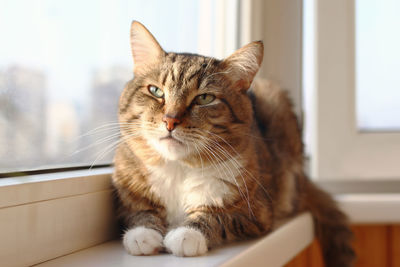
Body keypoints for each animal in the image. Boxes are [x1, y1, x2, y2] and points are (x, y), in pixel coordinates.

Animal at [111, 21, 354, 267]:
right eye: (155, 91)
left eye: (205, 98)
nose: (170, 120)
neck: (179, 167)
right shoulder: (127, 194)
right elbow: (139, 210)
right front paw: (143, 233)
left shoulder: (256, 212)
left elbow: (219, 216)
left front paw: (187, 233)